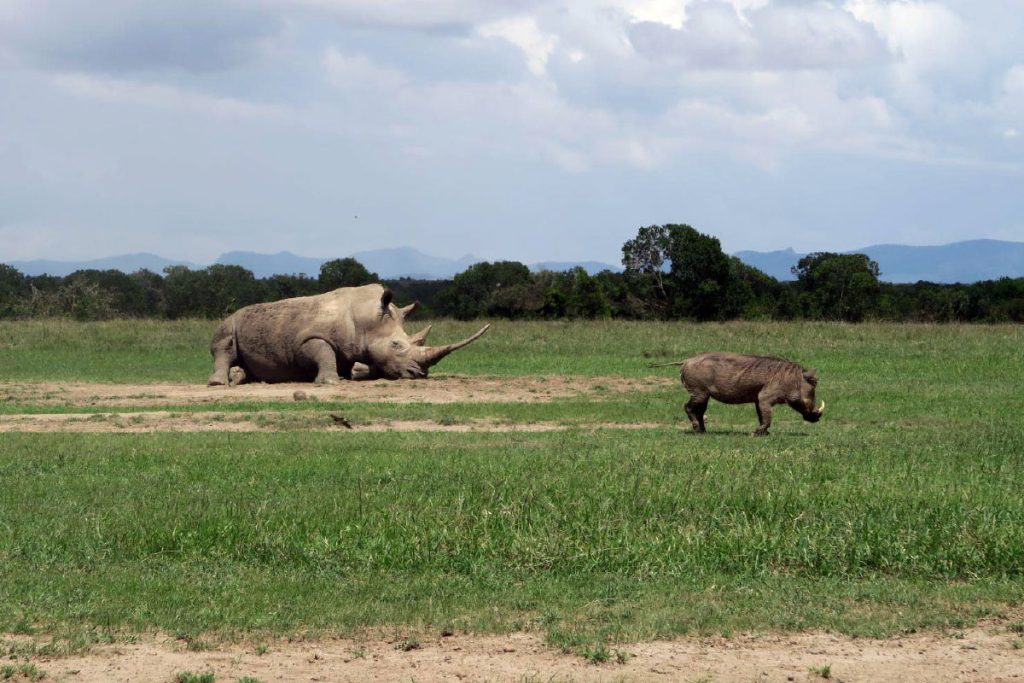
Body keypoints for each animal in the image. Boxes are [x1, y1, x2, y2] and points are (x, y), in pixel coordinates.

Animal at [206, 284, 487, 387]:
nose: (419, 374)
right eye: (396, 345)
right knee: (224, 344)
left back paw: (245, 380)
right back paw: (219, 384)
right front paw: (331, 382)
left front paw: (348, 376)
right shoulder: (309, 339)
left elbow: (351, 362)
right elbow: (323, 352)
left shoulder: (353, 347)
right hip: (230, 321)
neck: (366, 319)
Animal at [651, 352, 827, 438]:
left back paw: (703, 431)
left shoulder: (758, 400)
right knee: (688, 407)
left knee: (699, 412)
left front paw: (764, 434)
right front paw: (755, 433)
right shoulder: (765, 398)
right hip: (698, 393)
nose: (817, 418)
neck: (792, 379)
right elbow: (767, 418)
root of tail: (686, 361)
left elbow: (761, 416)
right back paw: (696, 429)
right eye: (813, 387)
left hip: (704, 396)